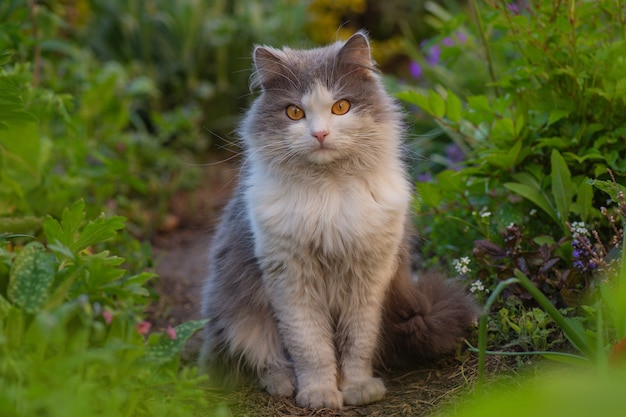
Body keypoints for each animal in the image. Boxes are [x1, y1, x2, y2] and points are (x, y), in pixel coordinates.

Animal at [197, 30, 476, 408]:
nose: (320, 134)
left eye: (340, 107)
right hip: (238, 314)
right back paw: (284, 383)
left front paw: (357, 388)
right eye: (294, 112)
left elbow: (357, 343)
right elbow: (311, 347)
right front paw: (319, 393)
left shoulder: (369, 278)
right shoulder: (291, 279)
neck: (328, 192)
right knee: (263, 357)